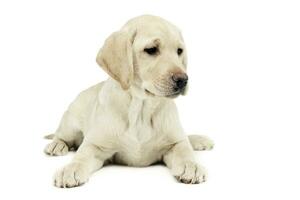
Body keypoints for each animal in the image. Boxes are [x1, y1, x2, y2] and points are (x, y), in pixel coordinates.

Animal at [44, 14, 213, 188]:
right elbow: (81, 155)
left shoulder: (175, 142)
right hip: (70, 124)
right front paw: (71, 169)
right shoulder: (95, 145)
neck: (140, 108)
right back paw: (56, 145)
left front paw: (191, 165)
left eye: (179, 51)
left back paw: (198, 140)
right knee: (61, 136)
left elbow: (184, 149)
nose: (183, 80)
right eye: (151, 49)